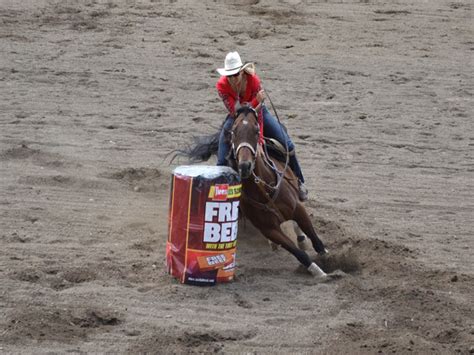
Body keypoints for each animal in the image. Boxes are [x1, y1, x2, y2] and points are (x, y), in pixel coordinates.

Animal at [186, 107, 330, 280]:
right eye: (234, 132)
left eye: (256, 131)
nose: (245, 165)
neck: (263, 189)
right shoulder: (269, 229)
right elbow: (297, 252)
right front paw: (318, 271)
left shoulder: (297, 209)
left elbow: (314, 237)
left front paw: (326, 259)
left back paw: (301, 236)